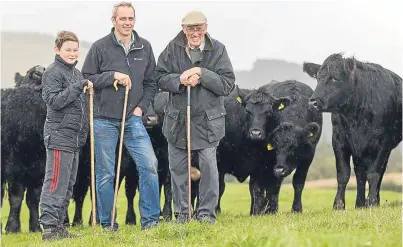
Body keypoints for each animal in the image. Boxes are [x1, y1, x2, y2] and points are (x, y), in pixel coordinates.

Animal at [304, 53, 402, 209]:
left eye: (335, 78)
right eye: (318, 78)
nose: (312, 102)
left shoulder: (383, 143)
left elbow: (374, 173)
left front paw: (372, 202)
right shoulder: (339, 141)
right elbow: (343, 173)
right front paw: (338, 205)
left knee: (378, 173)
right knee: (360, 173)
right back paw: (360, 203)